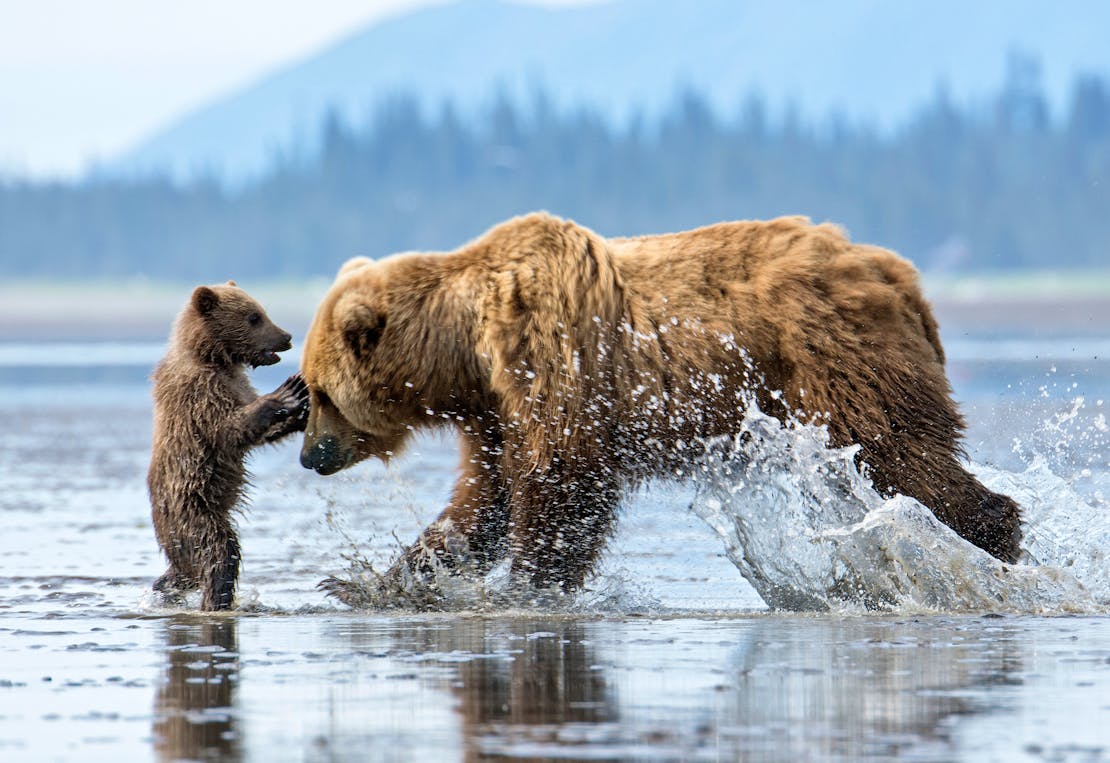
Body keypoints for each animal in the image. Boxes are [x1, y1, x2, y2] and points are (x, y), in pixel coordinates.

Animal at [297, 212, 1021, 595]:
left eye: (319, 393)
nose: (309, 456)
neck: (465, 351)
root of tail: (900, 276)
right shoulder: (495, 411)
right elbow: (483, 504)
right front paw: (371, 581)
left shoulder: (552, 357)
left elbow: (564, 482)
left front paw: (529, 581)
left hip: (831, 359)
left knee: (899, 449)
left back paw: (997, 533)